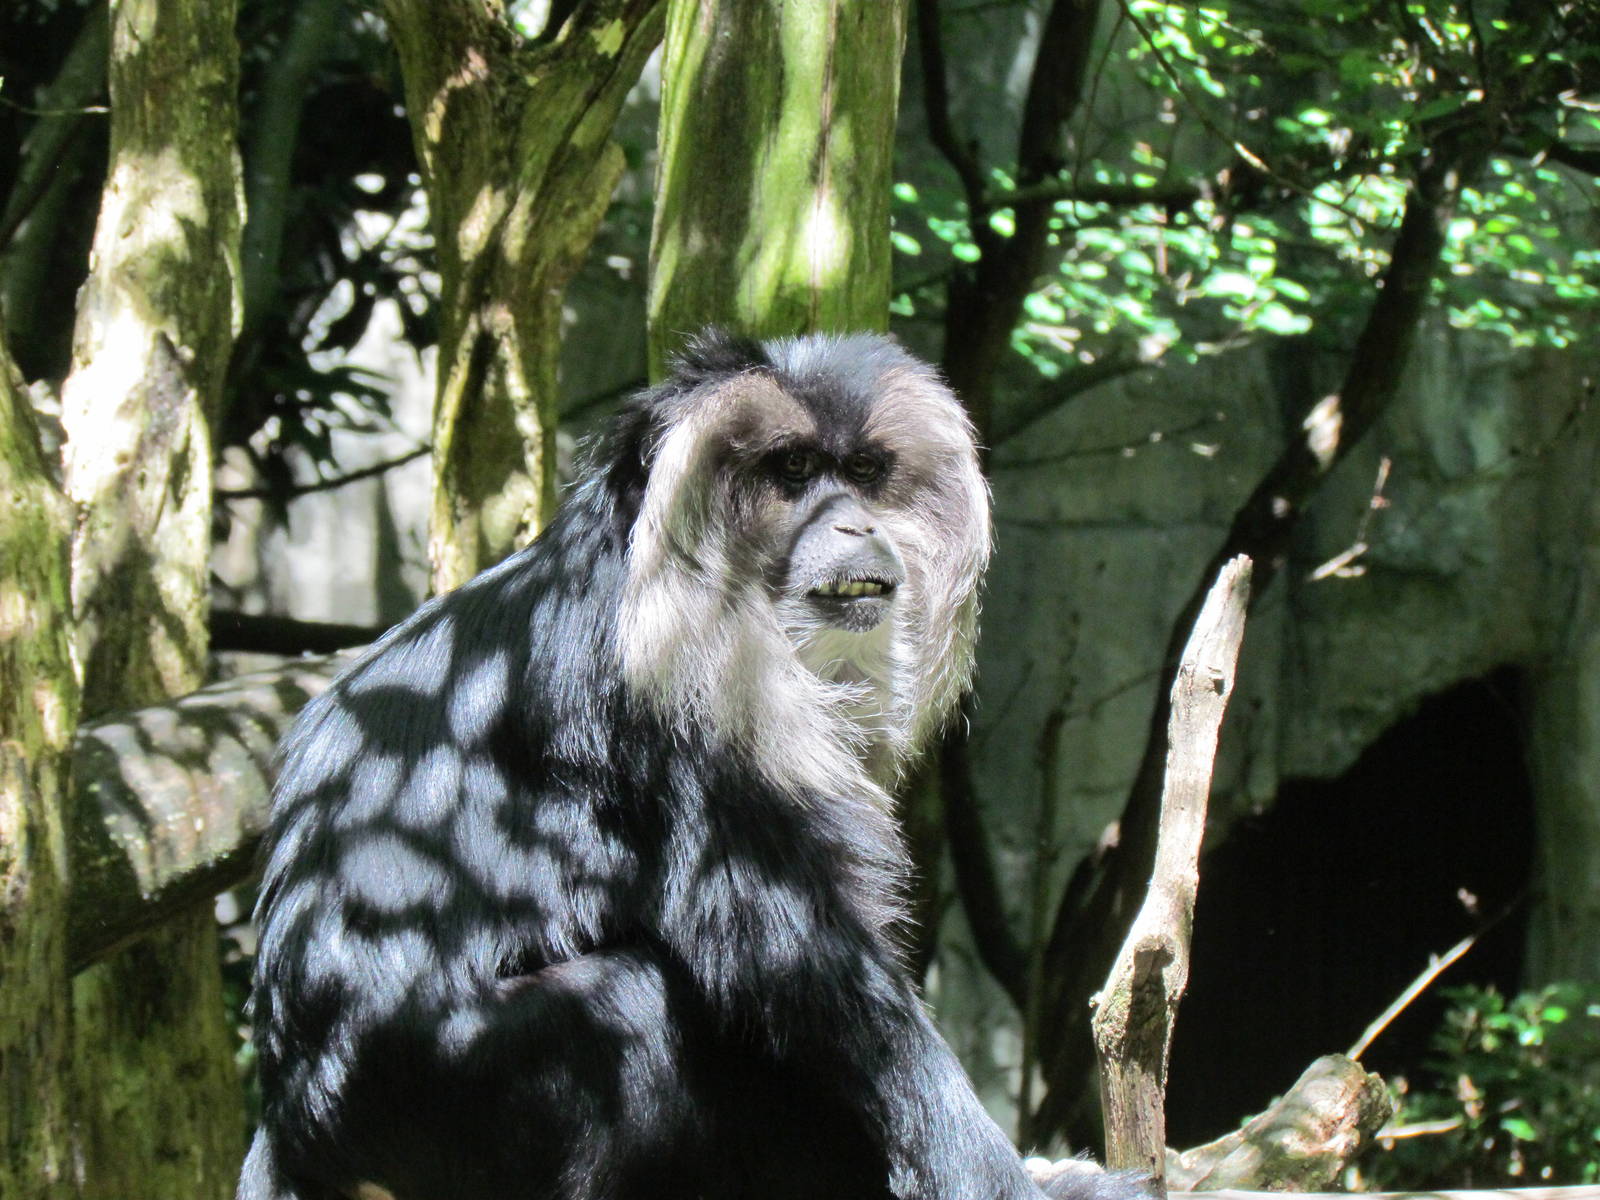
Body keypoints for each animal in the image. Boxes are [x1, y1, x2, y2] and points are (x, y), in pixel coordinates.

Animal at [240, 331, 1140, 1200]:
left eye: (863, 472)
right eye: (793, 471)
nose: (855, 525)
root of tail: (292, 1120)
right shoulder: (668, 686)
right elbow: (798, 960)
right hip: (434, 1087)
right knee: (635, 1003)